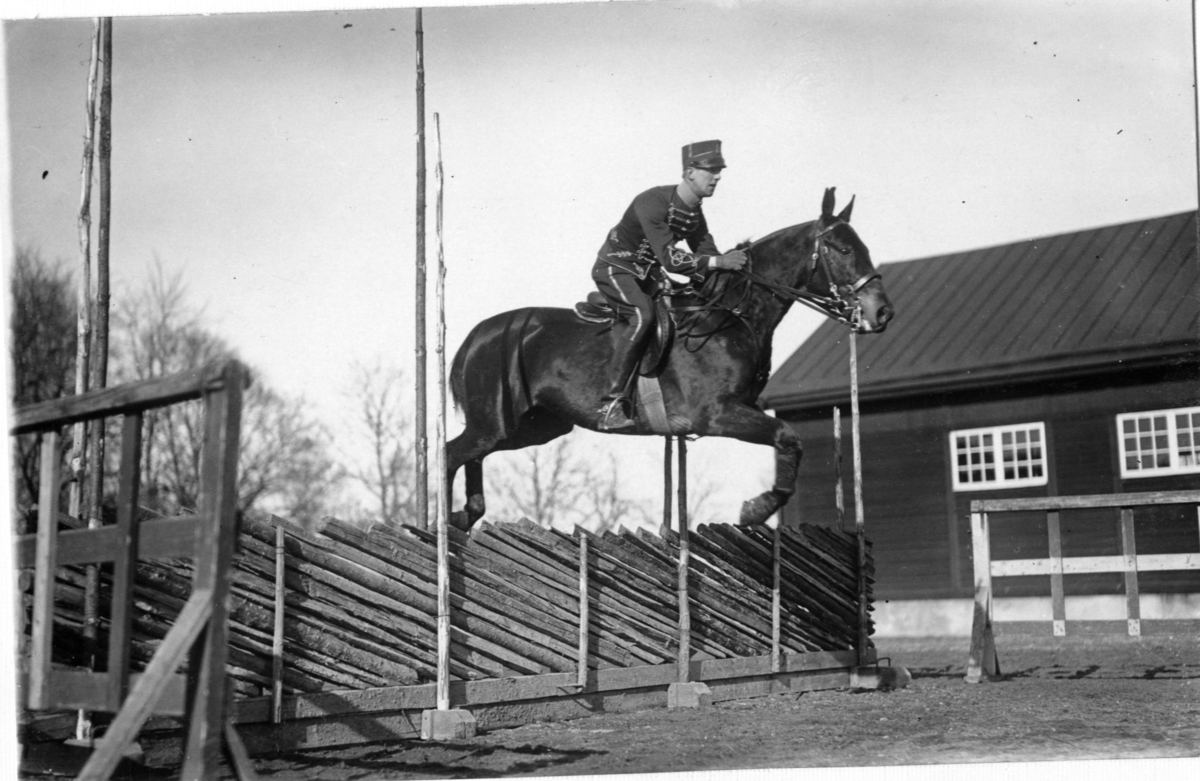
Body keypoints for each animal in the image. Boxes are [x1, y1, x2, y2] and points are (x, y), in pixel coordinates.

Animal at [446, 188, 894, 530]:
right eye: (841, 249)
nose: (882, 313)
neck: (730, 315)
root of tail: (478, 335)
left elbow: (788, 440)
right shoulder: (716, 415)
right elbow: (787, 435)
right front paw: (757, 509)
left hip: (532, 427)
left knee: (471, 457)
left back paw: (465, 516)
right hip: (495, 424)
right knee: (451, 454)